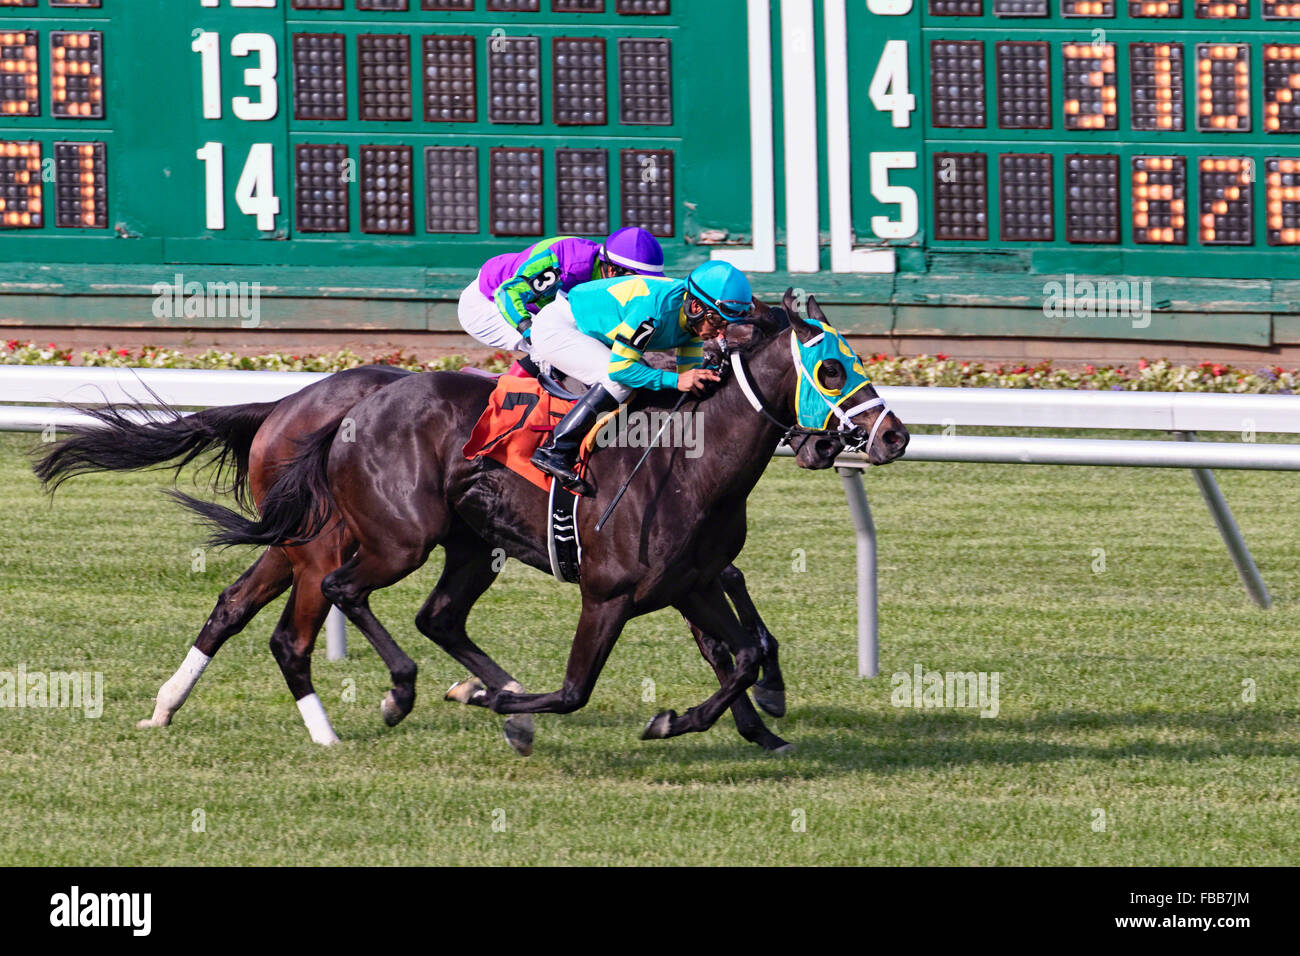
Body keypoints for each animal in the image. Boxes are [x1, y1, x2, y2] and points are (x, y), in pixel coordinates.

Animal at [183, 293, 909, 754]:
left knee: (433, 616)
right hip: (396, 540)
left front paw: (712, 721)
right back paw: (404, 693)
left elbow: (744, 654)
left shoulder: (690, 583)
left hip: (469, 544)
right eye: (831, 367)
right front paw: (496, 704)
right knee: (341, 591)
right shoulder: (609, 594)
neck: (689, 464)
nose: (895, 436)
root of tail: (348, 409)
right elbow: (572, 692)